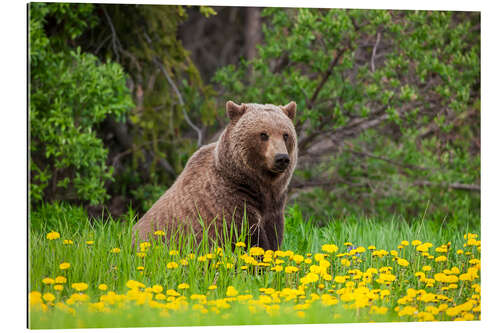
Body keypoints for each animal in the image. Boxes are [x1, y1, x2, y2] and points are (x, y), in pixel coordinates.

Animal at [132, 100, 296, 250]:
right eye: (263, 134)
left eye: (286, 135)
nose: (281, 158)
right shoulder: (230, 201)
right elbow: (249, 238)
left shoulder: (274, 207)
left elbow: (273, 236)